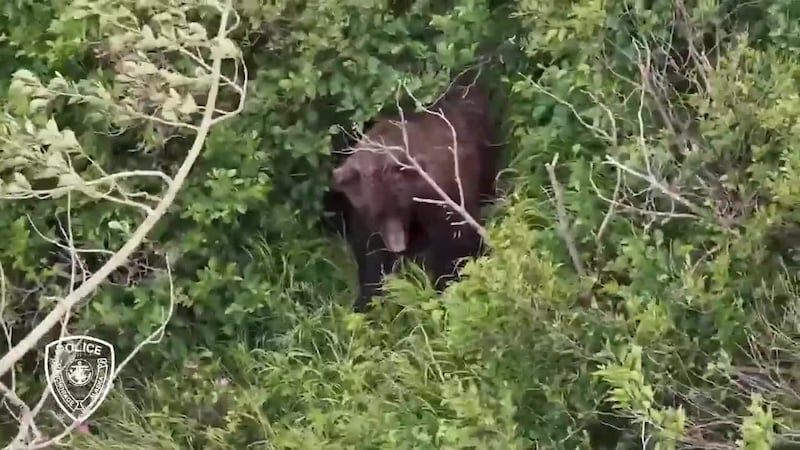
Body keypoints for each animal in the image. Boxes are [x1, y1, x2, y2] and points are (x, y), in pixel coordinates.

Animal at [329, 79, 499, 312]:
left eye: (400, 207)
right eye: (375, 213)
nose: (398, 246)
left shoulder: (439, 195)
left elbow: (456, 243)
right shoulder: (363, 218)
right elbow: (369, 256)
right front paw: (365, 302)